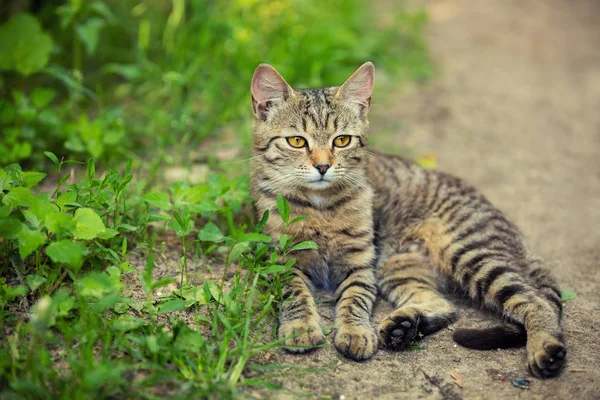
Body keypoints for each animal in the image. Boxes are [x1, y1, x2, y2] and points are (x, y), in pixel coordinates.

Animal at [248, 61, 568, 376]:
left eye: (342, 140)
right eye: (296, 141)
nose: (324, 166)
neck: (320, 206)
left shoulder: (360, 264)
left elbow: (354, 299)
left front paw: (355, 331)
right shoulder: (282, 261)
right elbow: (295, 295)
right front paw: (300, 327)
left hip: (469, 252)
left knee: (537, 301)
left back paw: (545, 347)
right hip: (398, 266)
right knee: (445, 306)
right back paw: (403, 328)